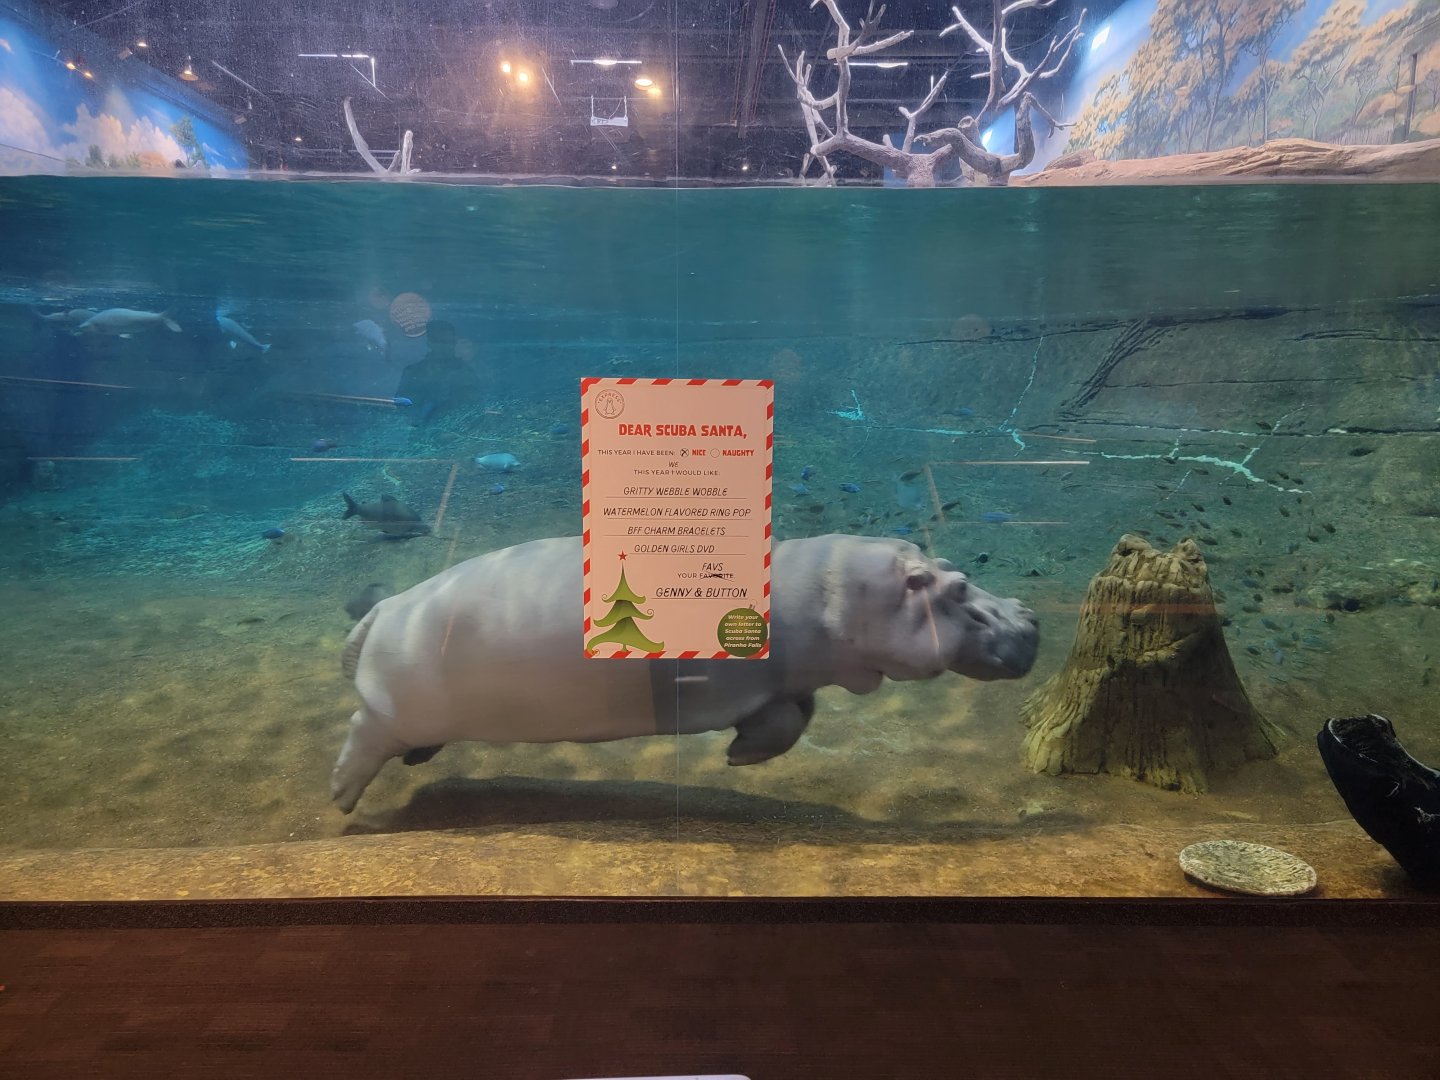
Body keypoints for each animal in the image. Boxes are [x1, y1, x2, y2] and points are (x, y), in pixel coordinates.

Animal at [331, 533, 1040, 813]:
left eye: (953, 568)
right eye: (957, 587)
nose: (1030, 619)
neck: (837, 592)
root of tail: (386, 607)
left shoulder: (787, 687)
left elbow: (794, 717)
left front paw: (742, 757)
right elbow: (784, 722)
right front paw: (737, 758)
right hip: (391, 708)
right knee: (361, 732)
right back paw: (341, 798)